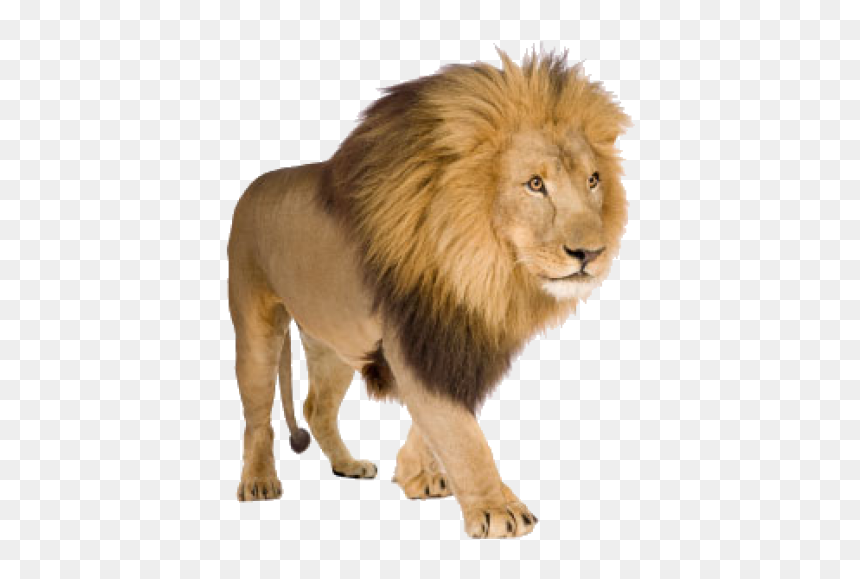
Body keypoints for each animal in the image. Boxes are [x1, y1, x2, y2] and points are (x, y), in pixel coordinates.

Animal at [227, 49, 631, 538]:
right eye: (535, 184)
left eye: (593, 180)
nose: (591, 253)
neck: (483, 268)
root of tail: (252, 187)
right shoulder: (415, 340)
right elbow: (461, 434)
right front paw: (498, 509)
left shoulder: (460, 343)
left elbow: (437, 423)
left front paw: (417, 476)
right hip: (256, 327)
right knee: (257, 416)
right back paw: (259, 481)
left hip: (335, 341)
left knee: (316, 406)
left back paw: (347, 464)